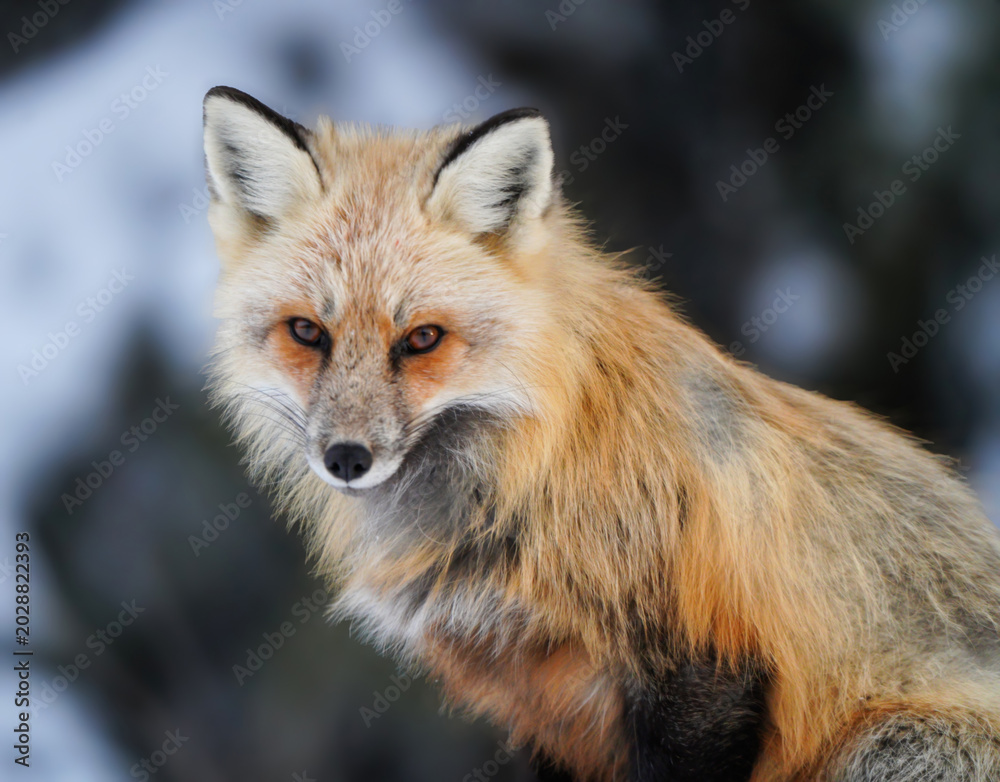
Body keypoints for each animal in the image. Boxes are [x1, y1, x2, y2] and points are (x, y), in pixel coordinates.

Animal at [201, 85, 1000, 781]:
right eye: (308, 332)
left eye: (422, 338)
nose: (346, 458)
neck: (529, 479)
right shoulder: (547, 709)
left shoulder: (704, 660)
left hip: (891, 748)